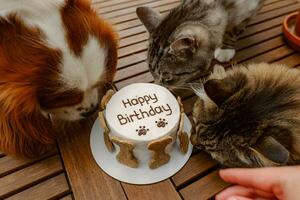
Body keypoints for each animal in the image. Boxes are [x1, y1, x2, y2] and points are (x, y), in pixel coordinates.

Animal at [136, 0, 264, 86]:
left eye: (167, 77)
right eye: (150, 71)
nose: (158, 85)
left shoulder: (250, 8)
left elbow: (234, 29)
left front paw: (225, 48)